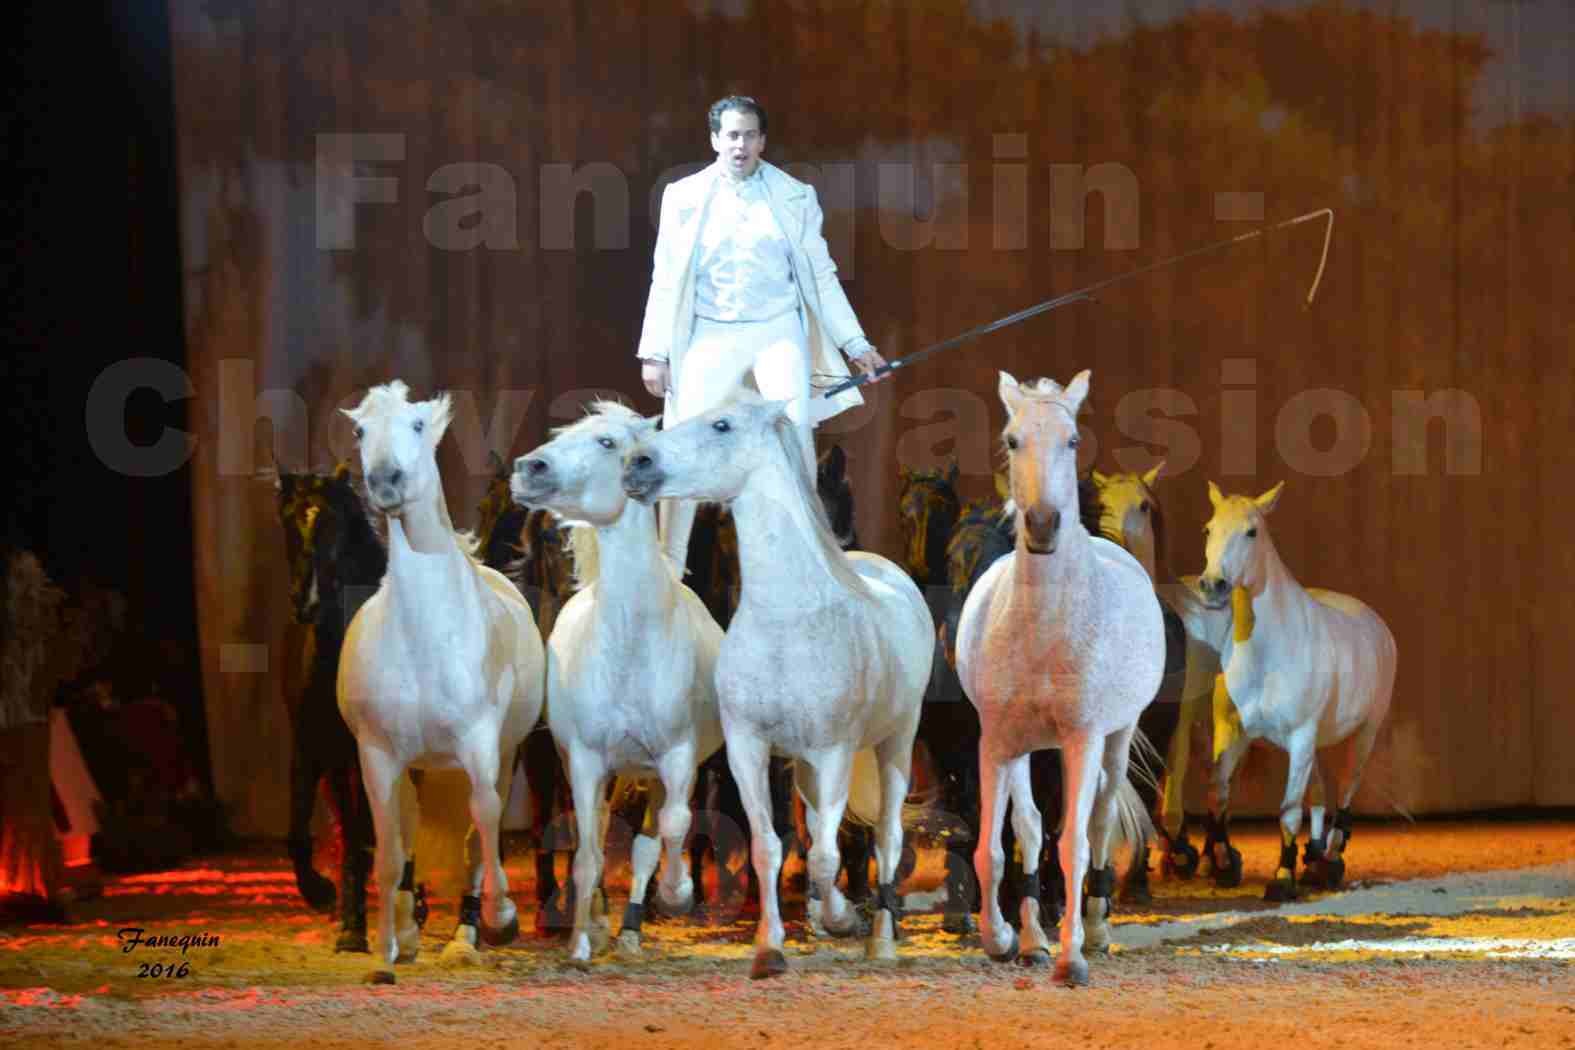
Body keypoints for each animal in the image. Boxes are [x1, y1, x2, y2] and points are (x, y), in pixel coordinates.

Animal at [338, 384, 548, 969]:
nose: (386, 481)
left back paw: (469, 933)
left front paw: (501, 918)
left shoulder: (480, 743)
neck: (425, 639)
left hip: (502, 752)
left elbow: (486, 820)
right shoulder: (377, 754)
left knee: (481, 828)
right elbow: (389, 844)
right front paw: (388, 952)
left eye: (416, 424)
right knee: (408, 826)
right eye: (360, 430)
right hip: (417, 765)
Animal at [507, 398, 721, 963]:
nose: (528, 468)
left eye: (606, 442)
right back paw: (603, 924)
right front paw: (581, 943)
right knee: (601, 833)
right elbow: (587, 852)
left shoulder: (676, 757)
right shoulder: (583, 761)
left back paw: (632, 929)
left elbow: (671, 827)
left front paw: (678, 891)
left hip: (648, 771)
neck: (630, 651)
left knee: (650, 840)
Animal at [617, 391, 932, 976]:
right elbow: (770, 847)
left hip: (895, 743)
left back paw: (879, 938)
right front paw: (770, 947)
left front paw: (839, 920)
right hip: (806, 766)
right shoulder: (750, 748)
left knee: (887, 836)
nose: (637, 464)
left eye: (721, 425)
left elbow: (829, 855)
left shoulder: (835, 750)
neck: (787, 618)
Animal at [951, 371, 1165, 988]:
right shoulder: (997, 741)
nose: (1043, 525)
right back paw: (1033, 940)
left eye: (1072, 441)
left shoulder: (1082, 739)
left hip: (1114, 740)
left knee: (1097, 823)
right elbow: (999, 846)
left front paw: (1072, 958)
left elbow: (1072, 844)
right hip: (1029, 748)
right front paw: (1007, 940)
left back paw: (1095, 929)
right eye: (1012, 439)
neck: (1043, 628)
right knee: (1030, 827)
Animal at [1197, 481, 1398, 900]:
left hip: (1365, 734)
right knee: (1319, 795)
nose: (1212, 587)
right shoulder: (1234, 731)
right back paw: (1315, 858)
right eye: (1208, 529)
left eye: (1252, 532)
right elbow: (1218, 793)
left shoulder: (1301, 736)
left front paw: (1282, 878)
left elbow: (1289, 809)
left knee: (1346, 791)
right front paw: (1223, 864)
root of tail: (1377, 624)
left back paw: (1332, 859)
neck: (1267, 653)